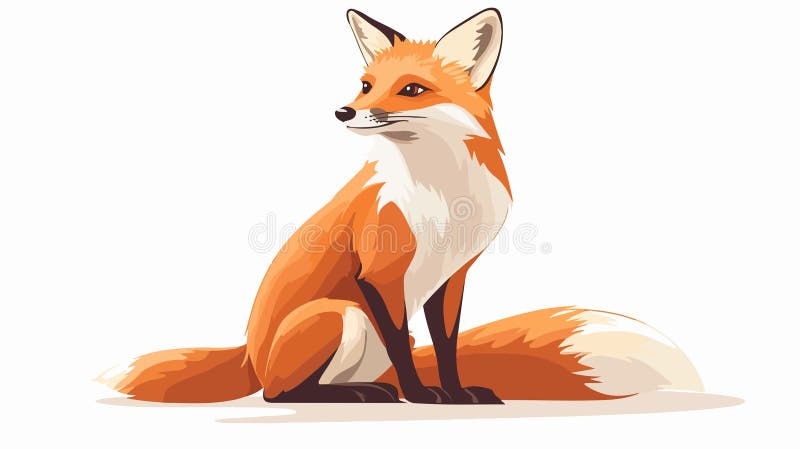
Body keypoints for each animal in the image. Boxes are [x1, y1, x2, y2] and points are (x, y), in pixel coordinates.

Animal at [98, 8, 703, 404]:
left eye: (411, 89)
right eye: (366, 85)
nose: (343, 111)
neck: (445, 196)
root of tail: (248, 353)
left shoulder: (452, 276)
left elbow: (448, 345)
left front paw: (454, 393)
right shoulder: (380, 274)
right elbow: (405, 347)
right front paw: (421, 395)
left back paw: (372, 388)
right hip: (340, 315)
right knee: (279, 393)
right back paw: (364, 395)